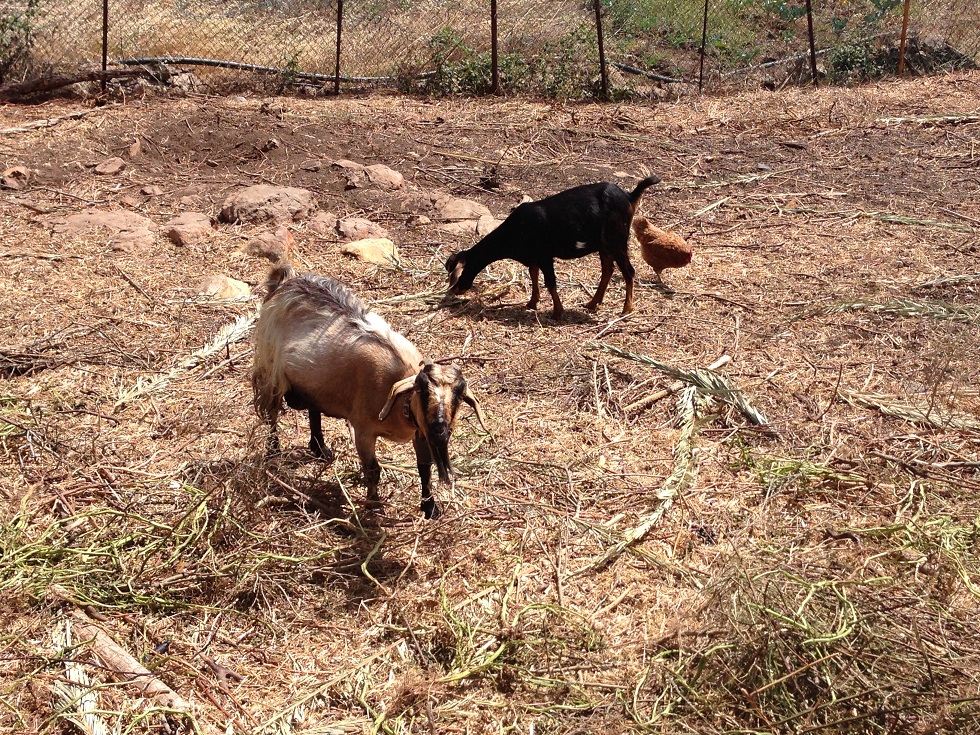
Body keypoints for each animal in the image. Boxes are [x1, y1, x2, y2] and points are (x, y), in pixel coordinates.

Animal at [446, 177, 664, 320]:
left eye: (458, 273)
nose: (454, 290)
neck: (517, 228)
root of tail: (629, 195)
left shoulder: (545, 255)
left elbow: (550, 282)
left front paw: (557, 312)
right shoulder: (533, 256)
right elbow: (533, 275)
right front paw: (532, 303)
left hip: (617, 240)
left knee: (628, 271)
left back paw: (626, 310)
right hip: (605, 245)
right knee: (607, 270)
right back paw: (592, 303)